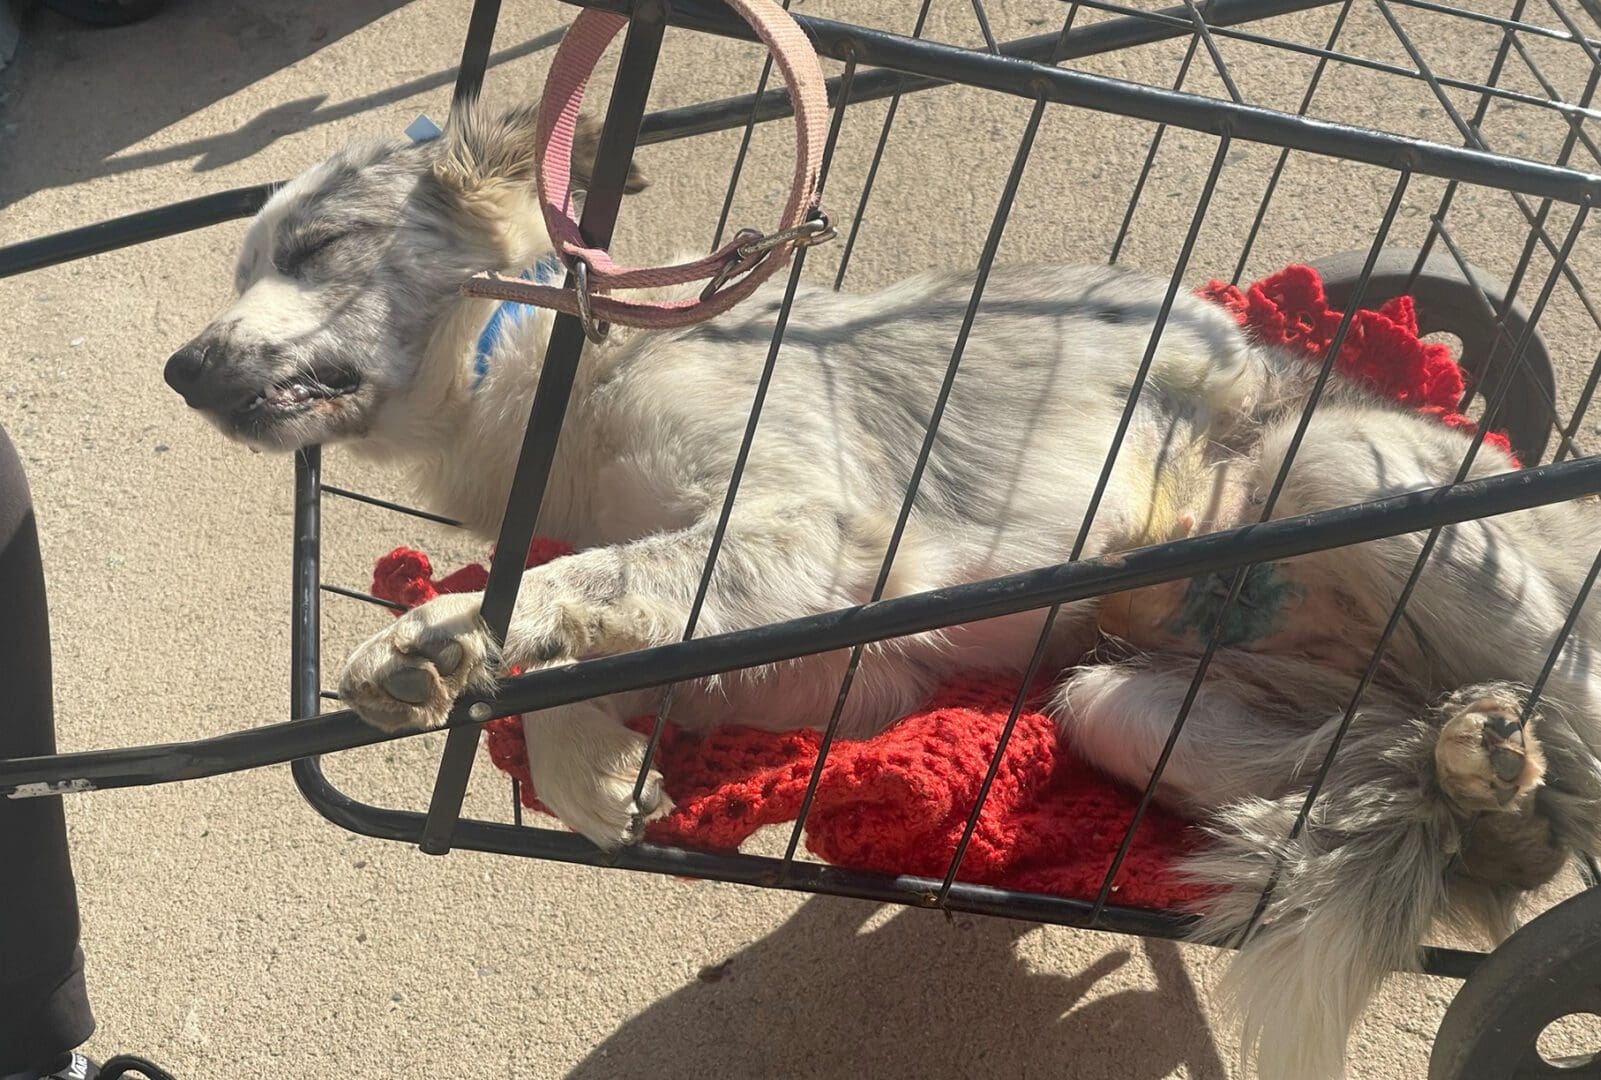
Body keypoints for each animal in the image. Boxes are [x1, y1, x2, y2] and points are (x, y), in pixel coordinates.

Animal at [159, 99, 1601, 1075]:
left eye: (320, 245)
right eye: (243, 269)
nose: (183, 371)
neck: (547, 388)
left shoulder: (801, 532)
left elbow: (589, 581)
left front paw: (440, 635)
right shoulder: (826, 666)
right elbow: (596, 645)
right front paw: (591, 780)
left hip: (1353, 476)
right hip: (1128, 702)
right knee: (1480, 810)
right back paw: (1478, 775)